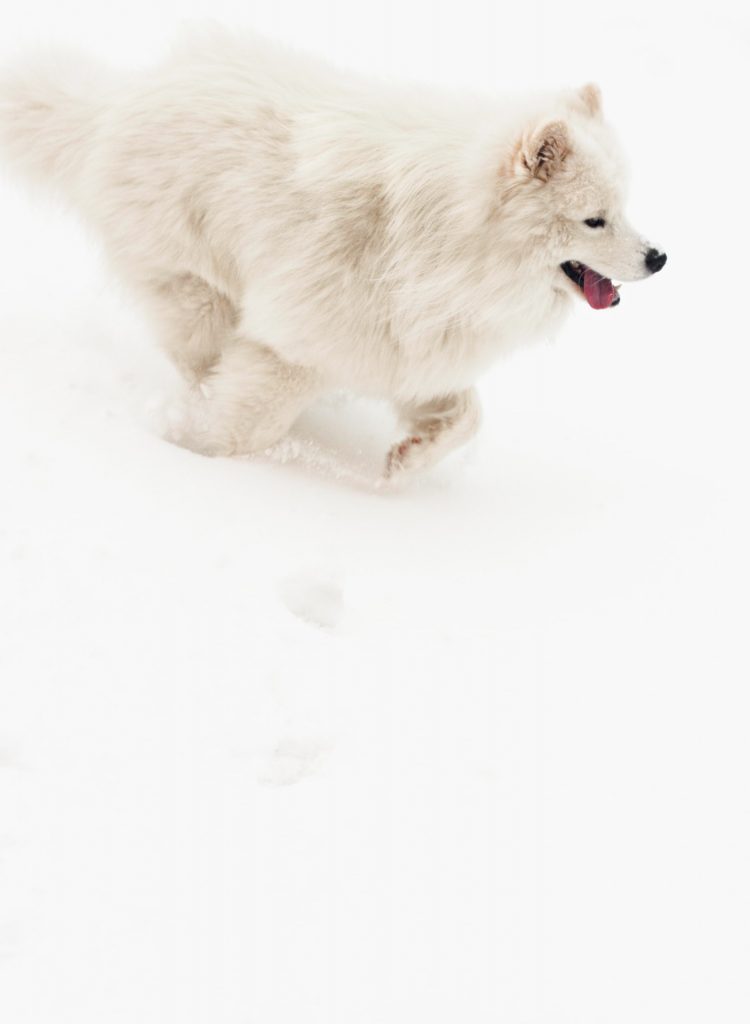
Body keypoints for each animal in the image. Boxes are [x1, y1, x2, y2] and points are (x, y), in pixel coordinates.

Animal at [0, 29, 668, 477]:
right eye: (593, 220)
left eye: (624, 208)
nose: (659, 258)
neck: (447, 242)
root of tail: (113, 107)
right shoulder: (295, 343)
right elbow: (247, 426)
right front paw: (202, 456)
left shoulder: (411, 344)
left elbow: (468, 413)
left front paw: (408, 459)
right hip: (196, 288)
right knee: (199, 352)